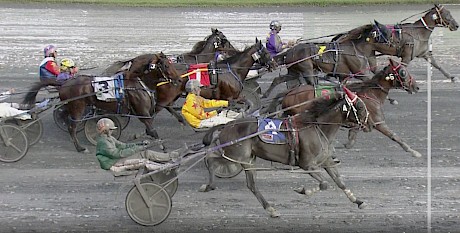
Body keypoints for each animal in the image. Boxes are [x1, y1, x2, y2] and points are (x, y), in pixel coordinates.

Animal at [201, 88, 370, 218]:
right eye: (360, 107)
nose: (369, 124)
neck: (316, 127)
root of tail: (227, 125)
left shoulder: (326, 161)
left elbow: (339, 182)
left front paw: (358, 201)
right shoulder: (307, 165)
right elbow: (324, 184)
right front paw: (302, 190)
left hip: (247, 160)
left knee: (252, 185)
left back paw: (271, 209)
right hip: (235, 156)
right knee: (211, 160)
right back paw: (208, 185)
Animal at [262, 21, 396, 98]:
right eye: (385, 31)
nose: (393, 43)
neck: (357, 49)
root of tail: (290, 52)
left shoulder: (343, 75)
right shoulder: (360, 73)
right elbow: (371, 81)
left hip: (294, 70)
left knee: (279, 79)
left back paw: (266, 94)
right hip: (306, 69)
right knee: (311, 84)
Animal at [268, 57, 422, 158]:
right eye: (403, 72)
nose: (416, 87)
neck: (370, 93)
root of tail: (289, 93)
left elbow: (351, 139)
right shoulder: (379, 121)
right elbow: (395, 136)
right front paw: (413, 151)